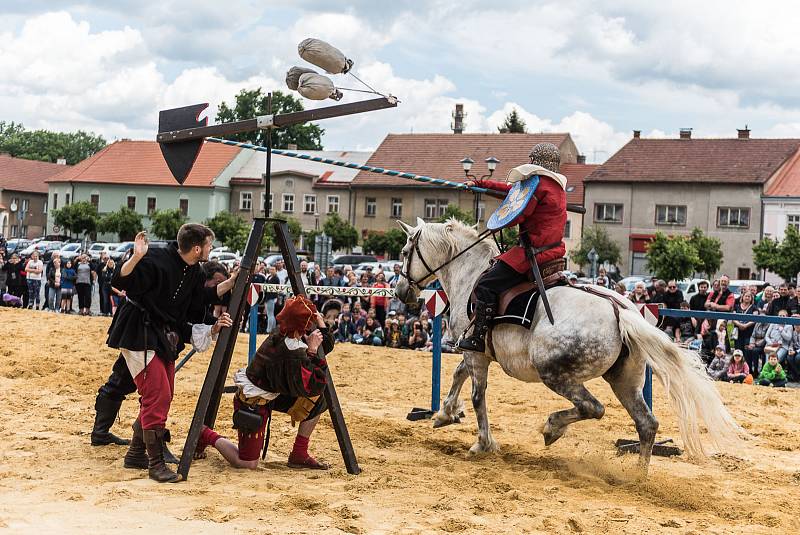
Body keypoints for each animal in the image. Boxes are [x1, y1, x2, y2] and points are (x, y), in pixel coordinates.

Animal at [396, 218, 744, 474]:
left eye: (403, 252)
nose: (401, 292)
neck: (470, 273)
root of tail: (621, 312)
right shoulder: (476, 352)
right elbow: (458, 376)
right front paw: (445, 414)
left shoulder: (475, 351)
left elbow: (477, 395)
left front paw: (483, 444)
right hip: (624, 380)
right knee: (646, 424)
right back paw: (638, 477)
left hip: (555, 374)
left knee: (593, 408)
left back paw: (552, 428)